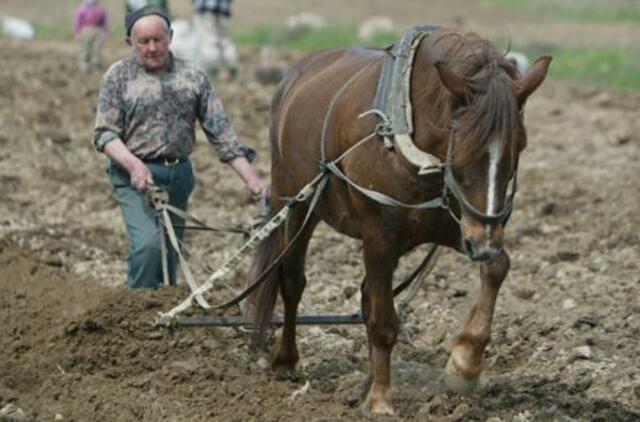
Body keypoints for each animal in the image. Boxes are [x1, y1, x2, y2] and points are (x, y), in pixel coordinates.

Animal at [249, 27, 552, 416]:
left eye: (519, 147)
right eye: (464, 146)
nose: (484, 244)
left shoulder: (458, 225)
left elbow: (498, 267)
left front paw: (465, 363)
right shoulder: (379, 235)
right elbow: (382, 321)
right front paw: (381, 400)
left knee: (365, 295)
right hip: (298, 205)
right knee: (292, 281)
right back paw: (285, 360)